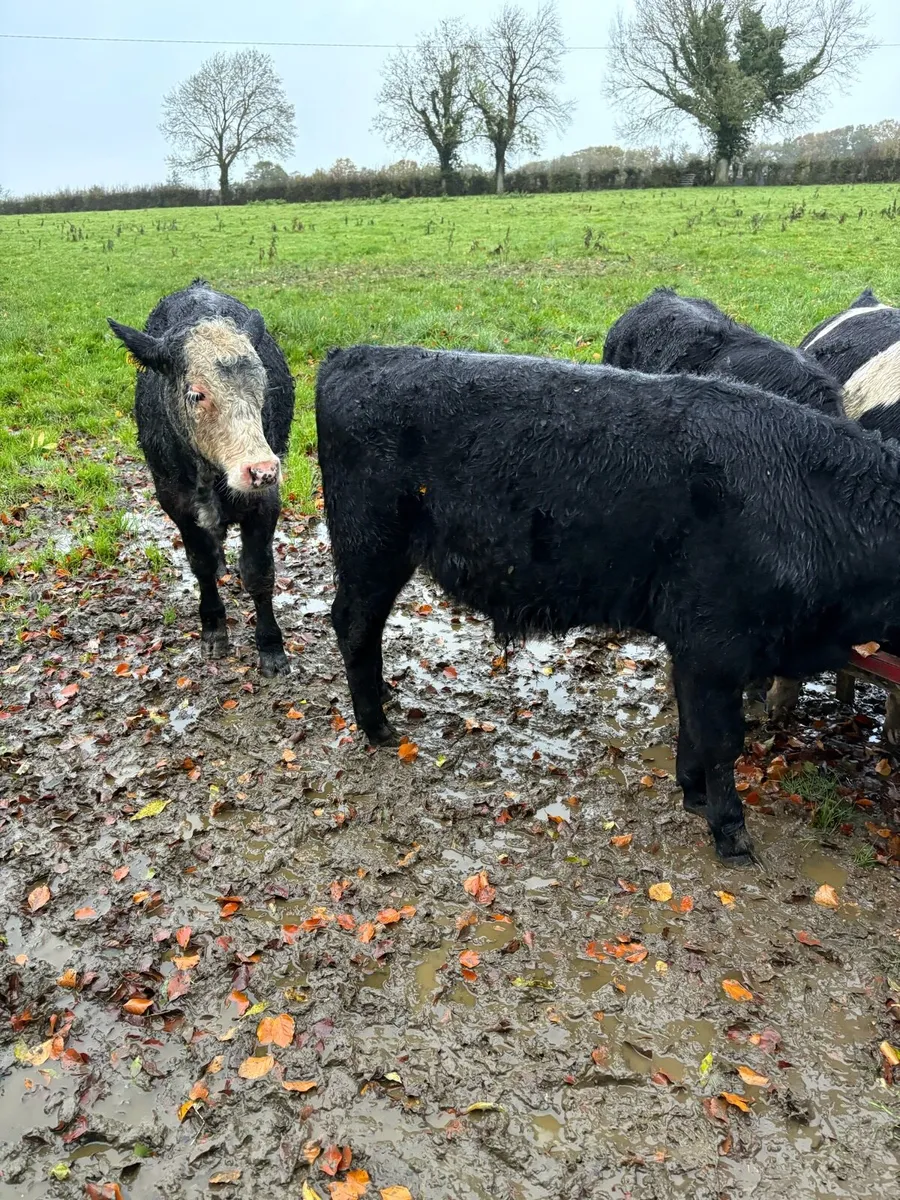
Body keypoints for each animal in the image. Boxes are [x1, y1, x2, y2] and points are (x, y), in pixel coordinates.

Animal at [108, 279, 294, 676]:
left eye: (262, 384)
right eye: (196, 393)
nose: (262, 470)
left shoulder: (265, 502)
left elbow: (258, 572)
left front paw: (271, 647)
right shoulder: (175, 503)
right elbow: (201, 564)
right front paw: (213, 629)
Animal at [316, 345, 900, 865]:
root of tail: (355, 354)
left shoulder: (696, 651)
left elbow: (692, 727)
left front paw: (693, 795)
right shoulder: (716, 646)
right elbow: (720, 740)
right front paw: (731, 835)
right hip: (371, 545)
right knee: (353, 624)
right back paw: (377, 727)